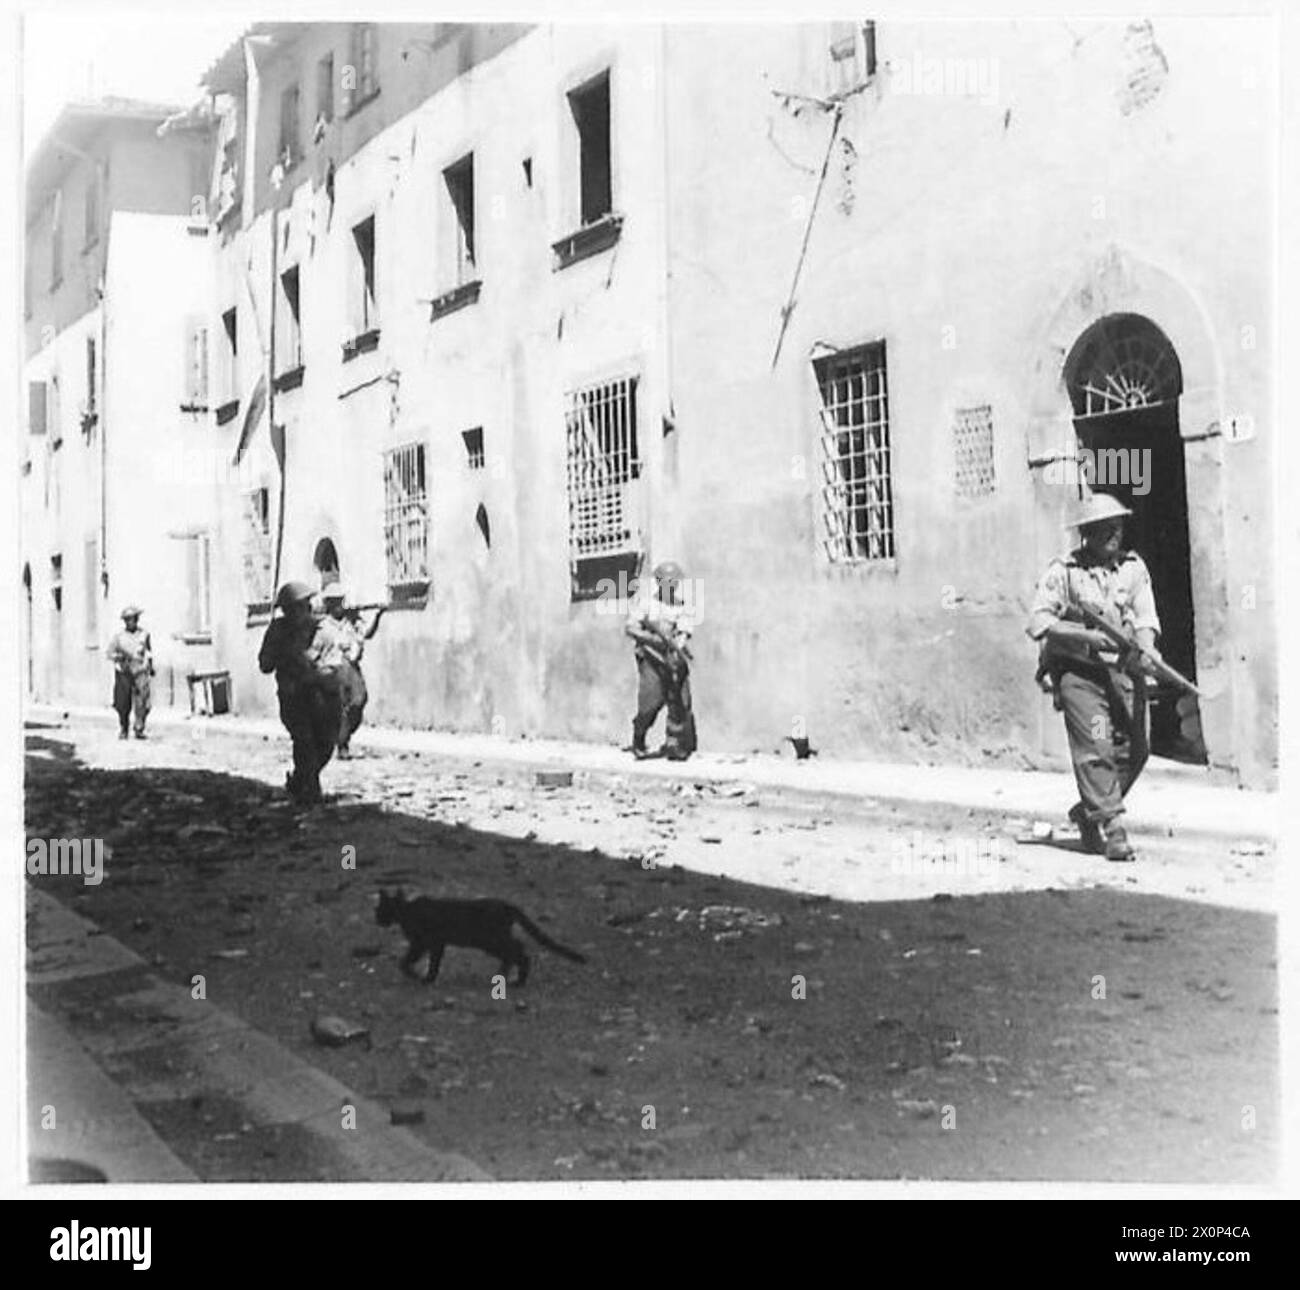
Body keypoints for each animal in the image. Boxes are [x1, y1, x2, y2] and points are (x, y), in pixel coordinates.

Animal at [379, 884, 587, 988]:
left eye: (378, 908)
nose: (377, 919)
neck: (406, 911)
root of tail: (507, 904)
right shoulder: (435, 943)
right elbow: (433, 962)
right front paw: (428, 978)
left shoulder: (423, 942)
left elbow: (406, 961)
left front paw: (417, 976)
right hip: (492, 941)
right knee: (514, 952)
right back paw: (508, 977)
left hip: (490, 940)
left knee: (518, 951)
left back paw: (515, 980)